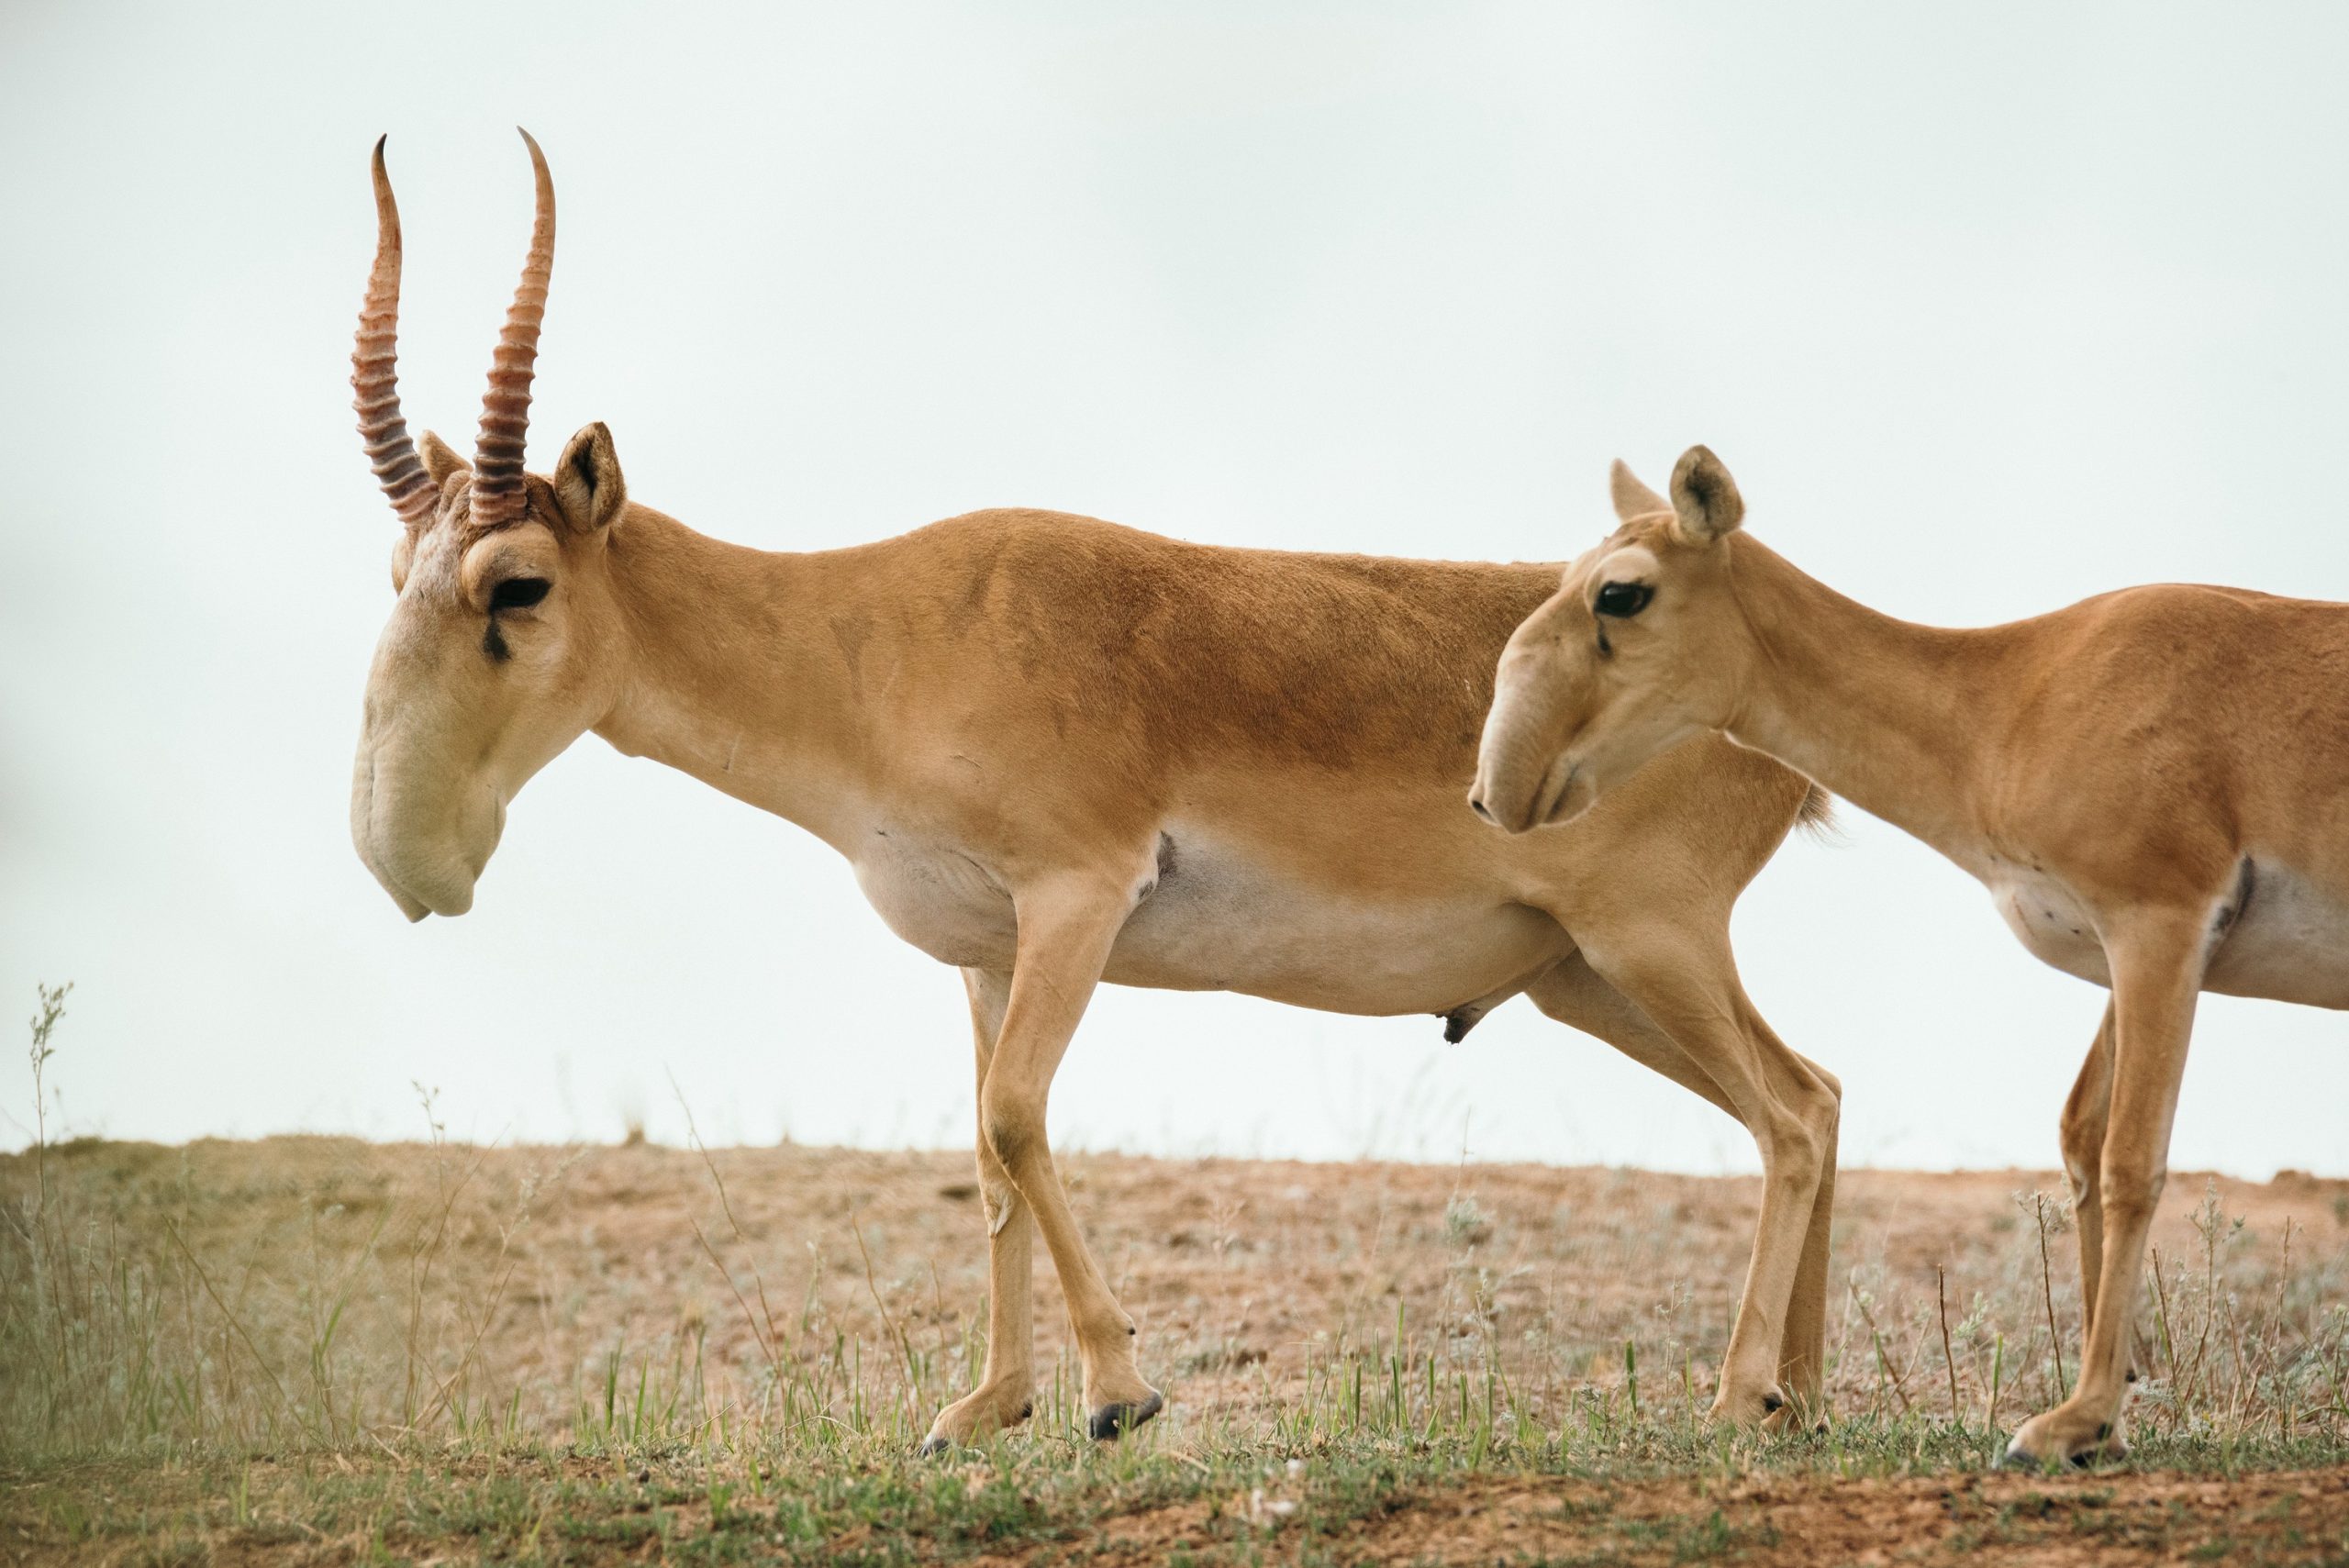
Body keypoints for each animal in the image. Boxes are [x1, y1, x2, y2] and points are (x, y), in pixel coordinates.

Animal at [352, 140, 1851, 1455]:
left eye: (518, 583)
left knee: (1786, 1118)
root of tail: (1770, 729)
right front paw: (985, 1408)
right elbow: (986, 1153)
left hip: (1648, 950)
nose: (400, 854)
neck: (881, 635)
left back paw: (1739, 1398)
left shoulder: (1078, 897)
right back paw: (1803, 1398)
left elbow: (1018, 1117)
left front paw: (1120, 1395)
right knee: (1819, 1097)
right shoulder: (985, 950)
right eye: (398, 574)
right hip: (1584, 977)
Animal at [1475, 443, 2349, 1473]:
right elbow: (2081, 1136)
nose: (1496, 789)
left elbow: (2133, 1158)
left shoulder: (2159, 926)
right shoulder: (2122, 957)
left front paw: (2071, 1420)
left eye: (1620, 590)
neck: (2013, 695)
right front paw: (2113, 1407)